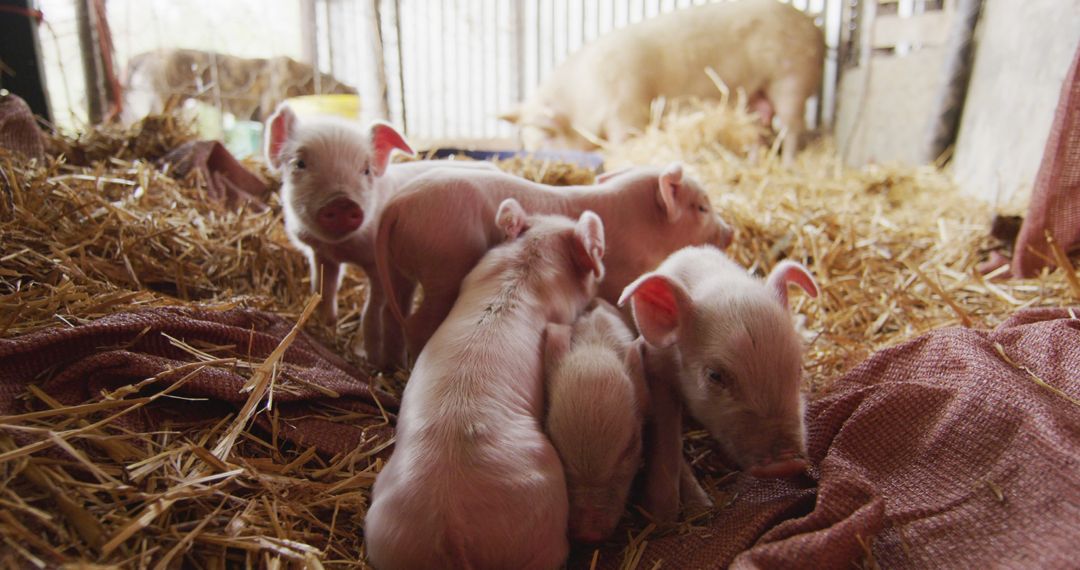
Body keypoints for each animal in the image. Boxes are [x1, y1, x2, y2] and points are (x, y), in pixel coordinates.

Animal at [373, 163, 734, 362]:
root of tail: (397, 205)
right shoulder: (620, 277)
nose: (730, 232)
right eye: (702, 207)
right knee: (417, 322)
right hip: (443, 267)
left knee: (390, 312)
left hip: (405, 267)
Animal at [501, 0, 820, 163]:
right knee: (757, 131)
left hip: (791, 81)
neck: (584, 96)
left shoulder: (629, 110)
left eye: (547, 138)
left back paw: (789, 164)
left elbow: (623, 143)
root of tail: (814, 26)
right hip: (754, 96)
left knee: (791, 129)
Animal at [617, 245, 816, 520]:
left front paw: (700, 507)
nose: (786, 463)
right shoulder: (656, 366)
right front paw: (665, 516)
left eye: (798, 368)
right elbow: (667, 436)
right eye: (715, 375)